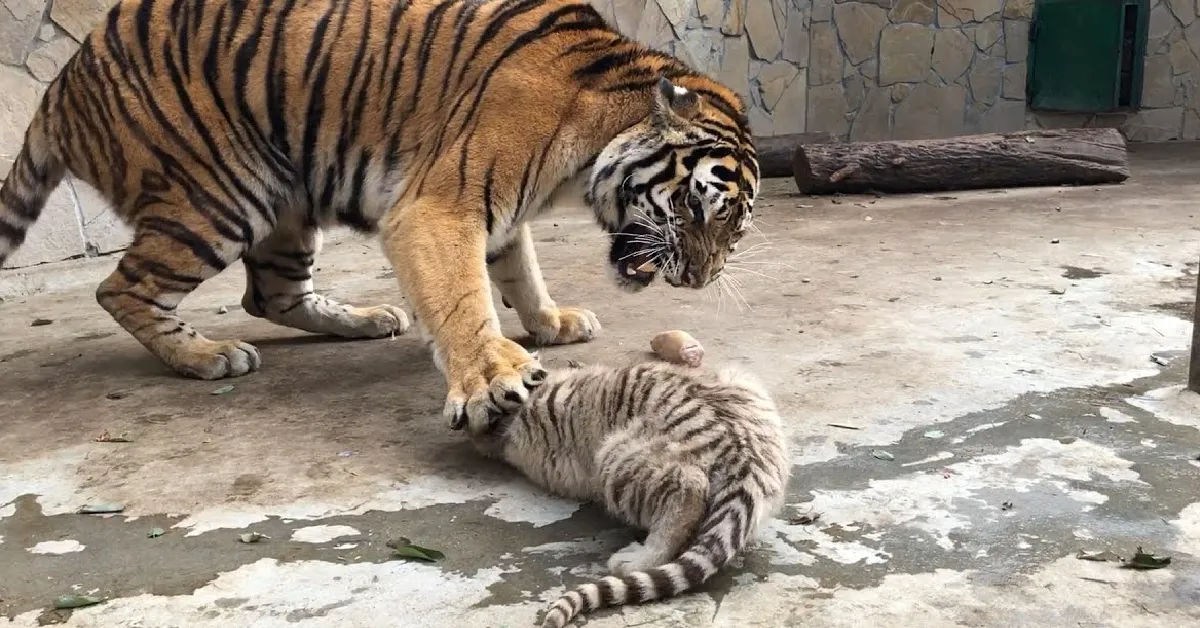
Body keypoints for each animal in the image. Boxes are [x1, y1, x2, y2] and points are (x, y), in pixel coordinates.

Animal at [0, 0, 758, 432]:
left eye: (733, 228)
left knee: (270, 293)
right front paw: (493, 375)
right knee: (121, 288)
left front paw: (551, 322)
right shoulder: (441, 202)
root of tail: (63, 80)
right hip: (220, 195)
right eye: (696, 205)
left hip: (282, 196)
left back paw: (364, 320)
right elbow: (462, 296)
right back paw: (207, 356)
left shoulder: (500, 208)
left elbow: (519, 267)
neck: (598, 122)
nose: (696, 279)